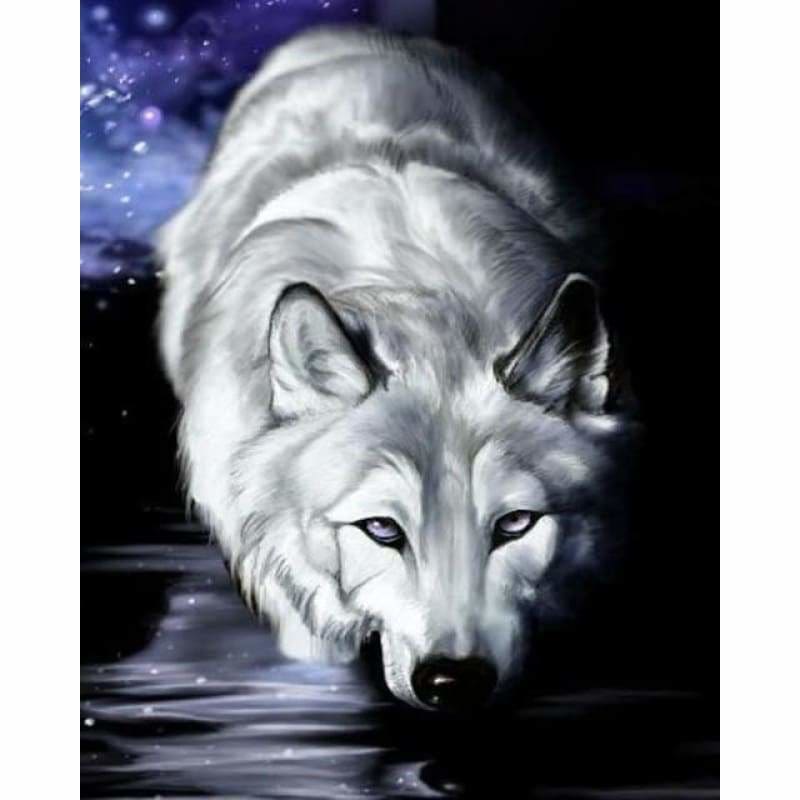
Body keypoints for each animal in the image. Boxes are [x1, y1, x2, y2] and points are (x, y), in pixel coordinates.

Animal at [157, 26, 636, 711]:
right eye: (382, 529)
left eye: (515, 524)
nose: (454, 681)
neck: (428, 309)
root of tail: (352, 31)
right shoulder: (291, 587)